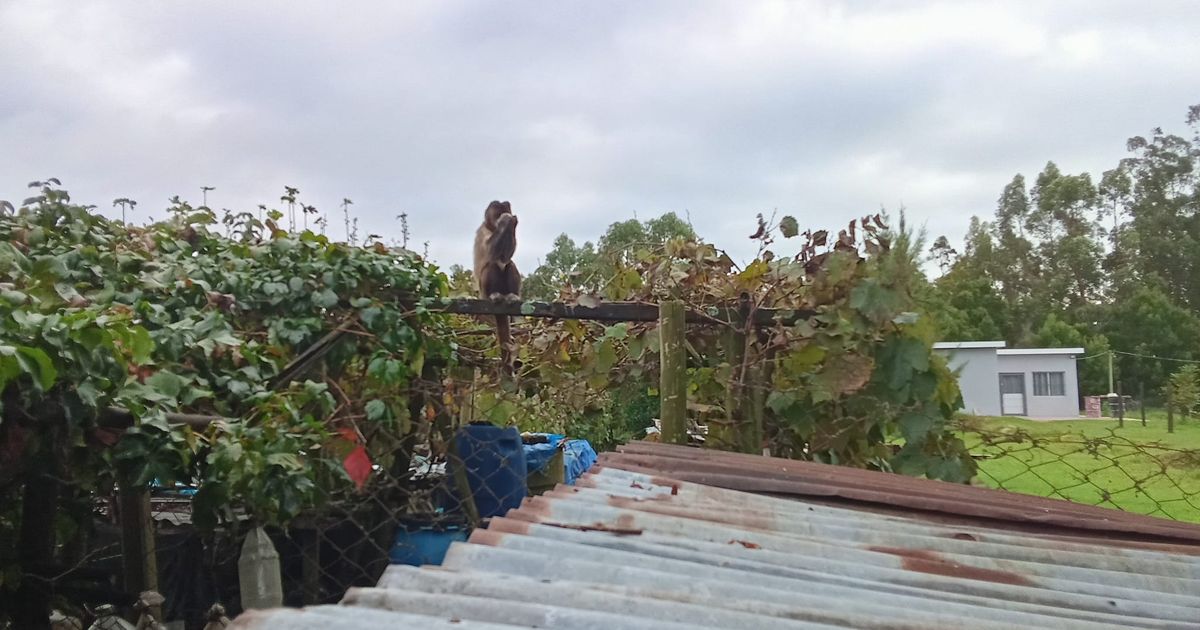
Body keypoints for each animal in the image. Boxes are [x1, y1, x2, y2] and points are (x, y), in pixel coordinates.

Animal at [473, 200, 522, 374]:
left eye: (503, 209)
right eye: (497, 213)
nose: (500, 217)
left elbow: (506, 256)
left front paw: (512, 223)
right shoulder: (482, 230)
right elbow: (490, 252)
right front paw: (505, 222)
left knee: (509, 264)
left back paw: (512, 296)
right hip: (483, 291)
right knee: (492, 264)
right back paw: (494, 294)